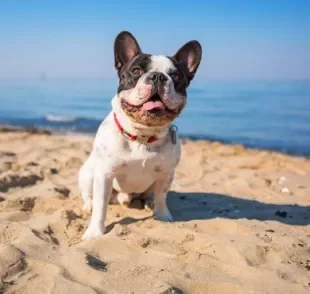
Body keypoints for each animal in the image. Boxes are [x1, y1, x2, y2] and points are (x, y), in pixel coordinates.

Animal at [78, 31, 202, 240]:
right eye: (136, 71)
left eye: (176, 76)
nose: (158, 77)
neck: (142, 135)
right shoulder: (104, 174)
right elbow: (101, 206)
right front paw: (95, 232)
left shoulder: (166, 173)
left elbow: (162, 196)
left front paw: (162, 215)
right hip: (88, 175)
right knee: (89, 196)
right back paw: (88, 206)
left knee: (151, 194)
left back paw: (148, 202)